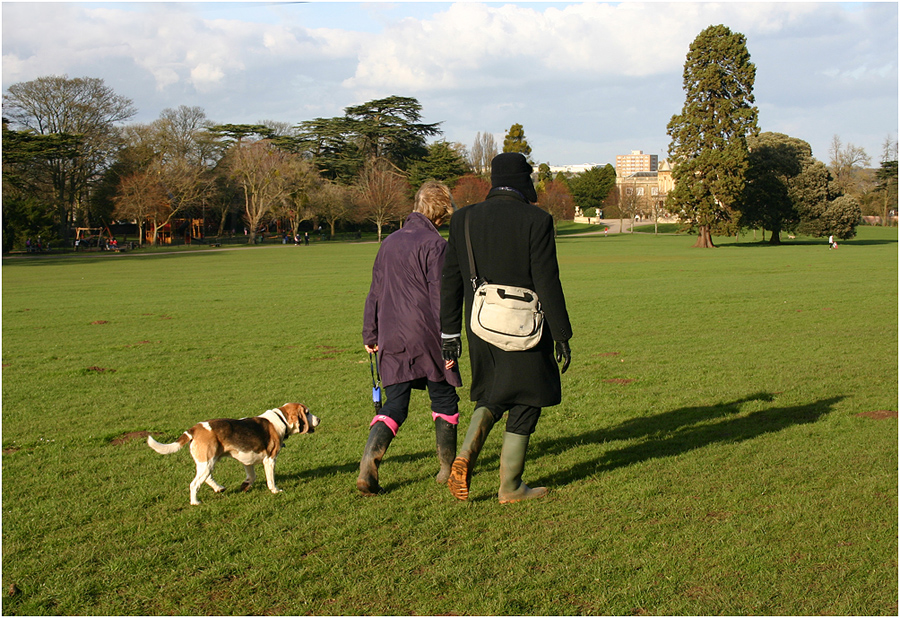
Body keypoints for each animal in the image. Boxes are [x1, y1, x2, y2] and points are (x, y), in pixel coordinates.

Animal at [146, 402, 318, 502]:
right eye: (307, 412)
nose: (319, 419)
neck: (280, 418)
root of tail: (195, 428)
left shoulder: (247, 460)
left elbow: (252, 476)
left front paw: (245, 486)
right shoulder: (270, 460)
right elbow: (270, 479)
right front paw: (275, 490)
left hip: (207, 462)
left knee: (206, 478)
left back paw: (218, 488)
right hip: (207, 462)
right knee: (194, 484)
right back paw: (195, 502)